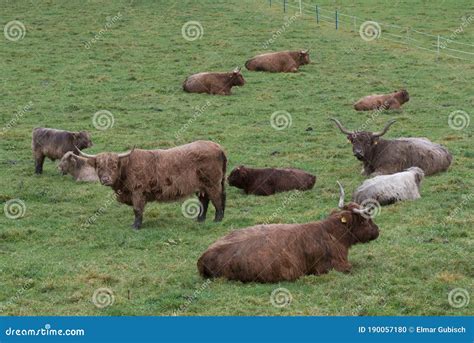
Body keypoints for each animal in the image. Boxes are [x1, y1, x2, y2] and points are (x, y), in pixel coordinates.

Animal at [78, 141, 227, 230]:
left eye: (114, 165)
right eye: (99, 166)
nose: (106, 179)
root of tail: (217, 146)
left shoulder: (137, 192)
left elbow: (137, 210)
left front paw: (136, 226)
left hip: (212, 183)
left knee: (217, 199)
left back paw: (217, 219)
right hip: (201, 186)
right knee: (204, 200)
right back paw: (200, 219)